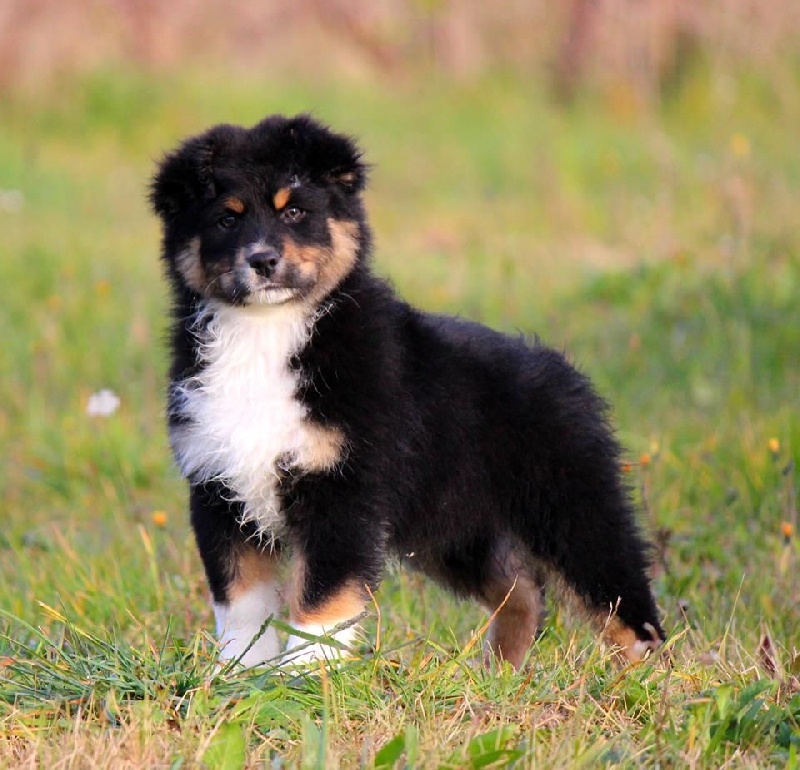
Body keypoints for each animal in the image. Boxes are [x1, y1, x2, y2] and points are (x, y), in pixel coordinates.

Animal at [150, 114, 664, 664]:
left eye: (295, 212)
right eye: (227, 220)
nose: (263, 260)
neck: (267, 332)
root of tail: (562, 368)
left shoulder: (345, 492)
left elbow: (321, 604)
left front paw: (302, 677)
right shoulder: (218, 491)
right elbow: (241, 605)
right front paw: (239, 675)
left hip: (571, 511)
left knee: (626, 607)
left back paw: (643, 678)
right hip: (459, 530)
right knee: (523, 592)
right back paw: (499, 673)